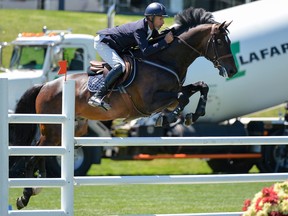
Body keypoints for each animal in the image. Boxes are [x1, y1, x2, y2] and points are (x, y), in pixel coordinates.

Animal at [10, 7, 237, 210]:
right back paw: (25, 196)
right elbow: (181, 97)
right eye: (219, 42)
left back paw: (36, 187)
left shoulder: (173, 91)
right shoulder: (150, 102)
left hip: (65, 129)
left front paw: (194, 114)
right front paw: (169, 117)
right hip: (53, 127)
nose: (233, 70)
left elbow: (200, 87)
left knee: (41, 151)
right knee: (33, 155)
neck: (164, 59)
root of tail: (46, 86)